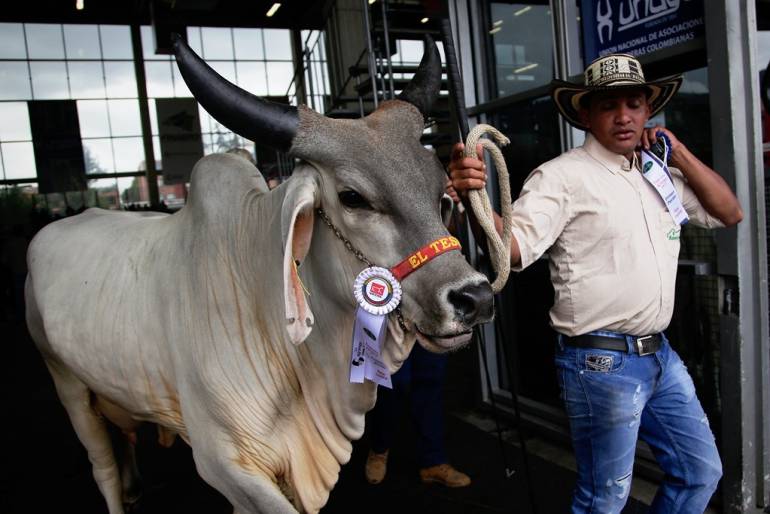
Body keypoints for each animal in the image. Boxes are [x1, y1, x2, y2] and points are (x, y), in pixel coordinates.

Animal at [25, 35, 494, 514]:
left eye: (439, 192)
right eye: (352, 197)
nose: (475, 298)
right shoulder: (225, 464)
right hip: (67, 384)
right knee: (102, 466)